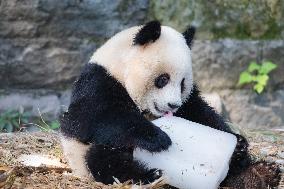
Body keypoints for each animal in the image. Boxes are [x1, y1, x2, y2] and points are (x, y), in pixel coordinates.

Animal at [60, 21, 280, 188]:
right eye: (163, 79)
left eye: (182, 83)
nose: (173, 105)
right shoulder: (98, 82)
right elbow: (92, 119)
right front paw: (158, 138)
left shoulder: (188, 102)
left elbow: (202, 113)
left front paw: (239, 144)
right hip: (83, 153)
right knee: (104, 160)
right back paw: (151, 174)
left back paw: (259, 174)